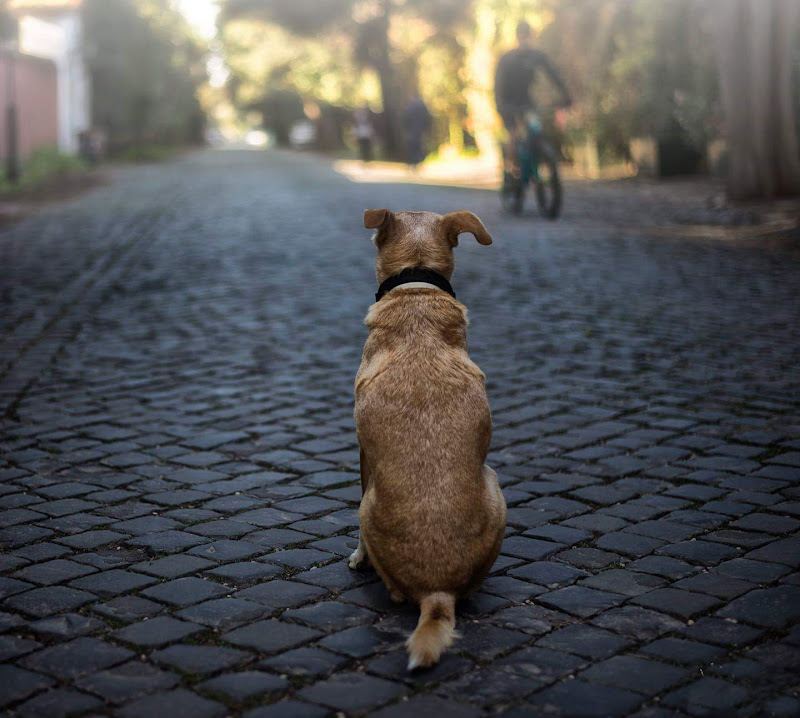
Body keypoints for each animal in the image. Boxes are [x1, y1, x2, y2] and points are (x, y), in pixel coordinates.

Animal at [348, 211, 506, 672]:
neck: (416, 286)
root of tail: (437, 595)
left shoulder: (362, 451)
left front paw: (358, 559)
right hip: (496, 487)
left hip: (374, 505)